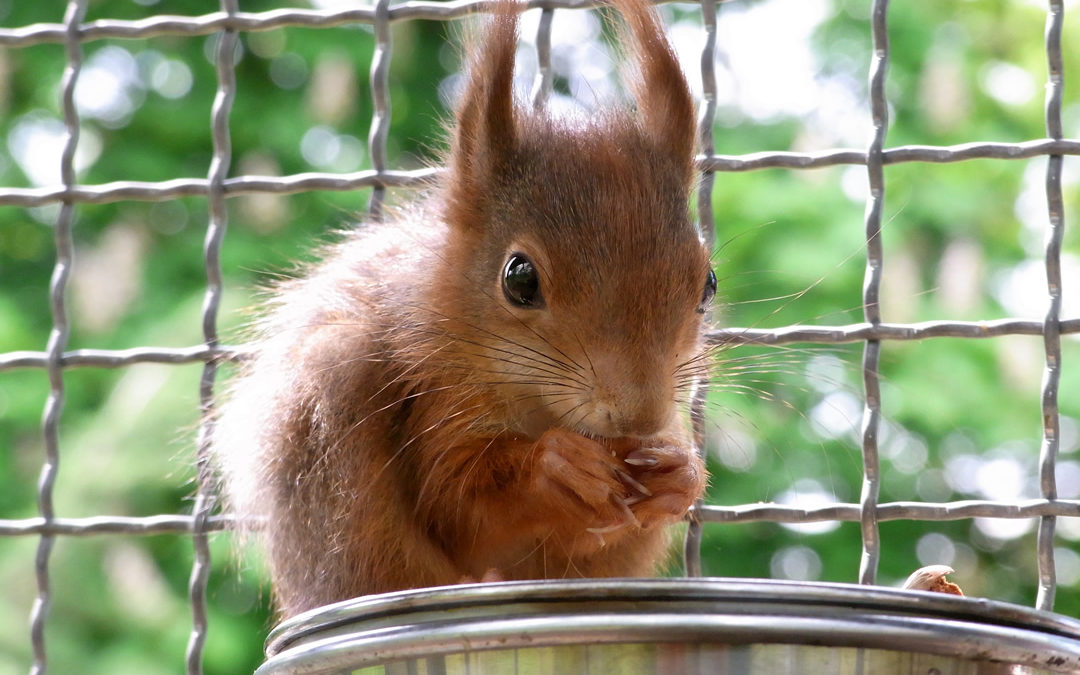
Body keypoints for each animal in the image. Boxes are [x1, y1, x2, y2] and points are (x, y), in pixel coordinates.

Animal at [213, 0, 712, 617]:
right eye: (519, 278)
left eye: (708, 283)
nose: (640, 415)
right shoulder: (433, 396)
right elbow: (458, 506)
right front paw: (556, 470)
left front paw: (679, 475)